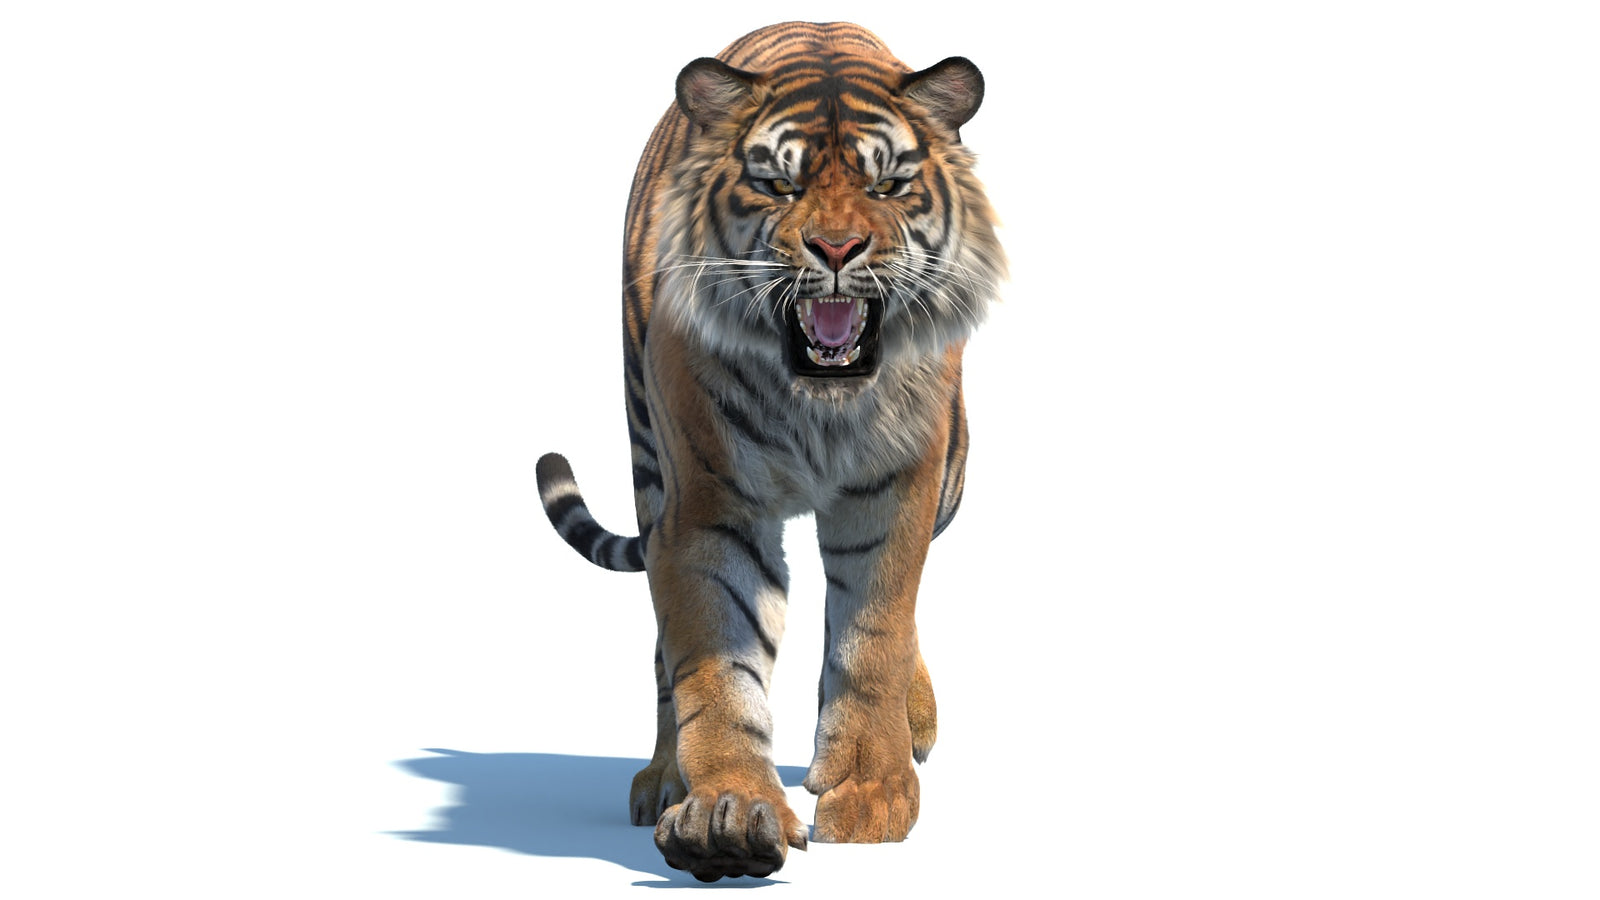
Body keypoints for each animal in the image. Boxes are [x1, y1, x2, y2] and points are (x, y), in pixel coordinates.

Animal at [535, 21, 1004, 881]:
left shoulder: (897, 486)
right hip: (650, 468)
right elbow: (716, 665)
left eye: (889, 186)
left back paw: (915, 723)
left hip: (953, 471)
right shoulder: (706, 505)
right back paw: (663, 776)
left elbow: (876, 633)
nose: (837, 247)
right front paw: (726, 812)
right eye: (778, 186)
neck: (820, 404)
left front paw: (871, 793)